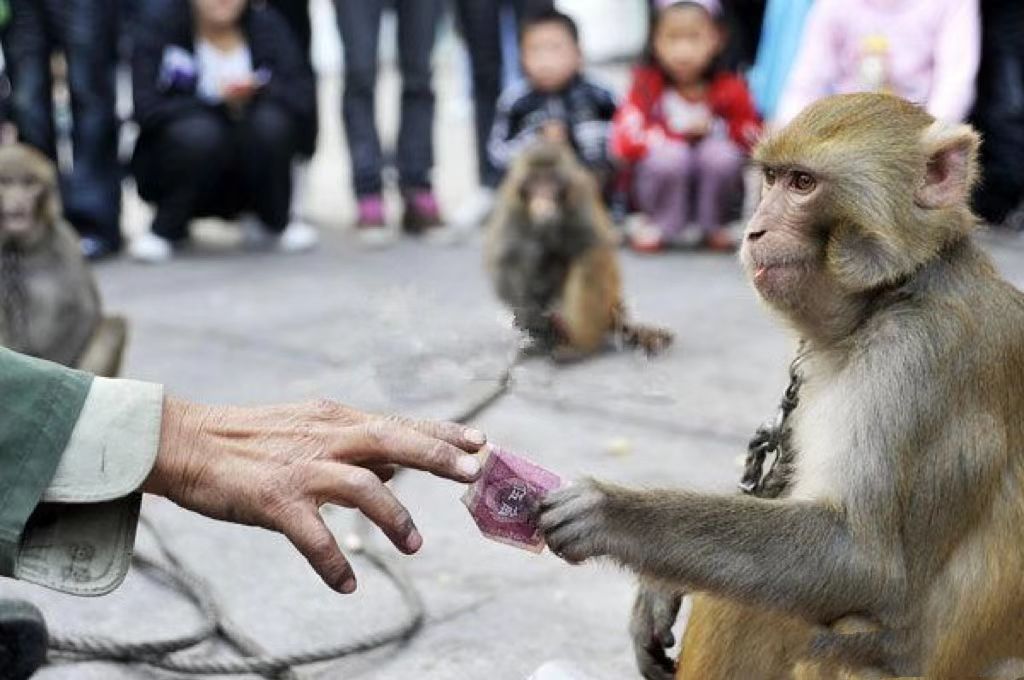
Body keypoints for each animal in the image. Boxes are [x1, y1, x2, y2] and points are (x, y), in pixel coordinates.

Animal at [0, 144, 126, 376]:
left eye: (29, 183)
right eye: (6, 182)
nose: (19, 199)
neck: (17, 248)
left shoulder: (64, 240)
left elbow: (83, 310)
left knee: (114, 325)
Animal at [485, 140, 675, 358]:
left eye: (551, 182)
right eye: (535, 182)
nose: (544, 195)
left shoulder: (581, 193)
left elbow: (591, 243)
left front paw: (551, 223)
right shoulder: (510, 205)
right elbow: (505, 259)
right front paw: (529, 315)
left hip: (602, 307)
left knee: (592, 259)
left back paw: (579, 345)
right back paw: (542, 335)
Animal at [536, 93, 1024, 675]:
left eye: (803, 183)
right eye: (770, 178)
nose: (755, 230)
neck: (898, 289)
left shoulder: (916, 356)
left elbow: (863, 560)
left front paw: (612, 513)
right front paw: (655, 590)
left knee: (762, 606)